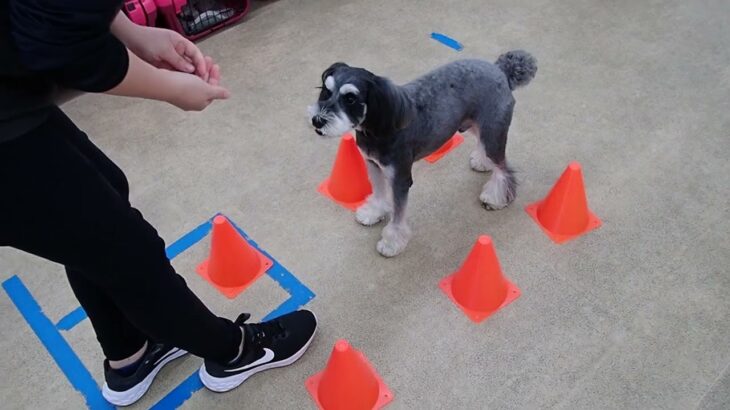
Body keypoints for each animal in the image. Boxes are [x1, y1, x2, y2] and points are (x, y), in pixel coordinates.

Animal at [308, 50, 536, 256]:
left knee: (503, 168)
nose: (317, 121)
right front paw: (373, 212)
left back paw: (495, 197)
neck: (379, 123)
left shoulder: (400, 179)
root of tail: (500, 70)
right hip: (475, 125)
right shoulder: (373, 165)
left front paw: (391, 243)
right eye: (326, 91)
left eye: (350, 98)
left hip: (493, 134)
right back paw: (482, 162)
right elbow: (379, 194)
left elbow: (398, 217)